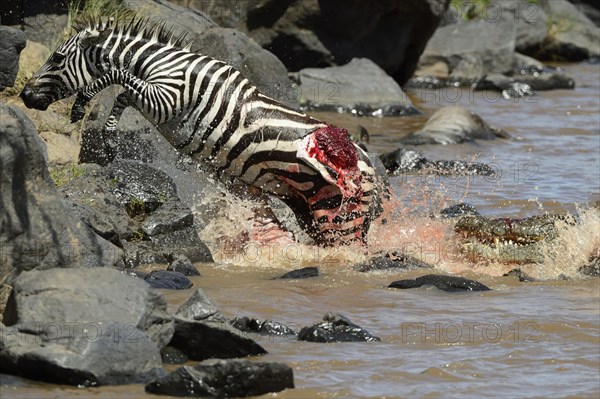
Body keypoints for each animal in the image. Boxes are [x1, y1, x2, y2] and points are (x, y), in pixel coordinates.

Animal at [19, 17, 384, 247]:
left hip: (339, 216)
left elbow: (116, 77)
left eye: (57, 58)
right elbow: (123, 92)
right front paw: (108, 137)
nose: (24, 95)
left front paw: (83, 106)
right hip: (315, 211)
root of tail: (372, 167)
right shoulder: (157, 101)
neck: (162, 64)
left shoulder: (166, 99)